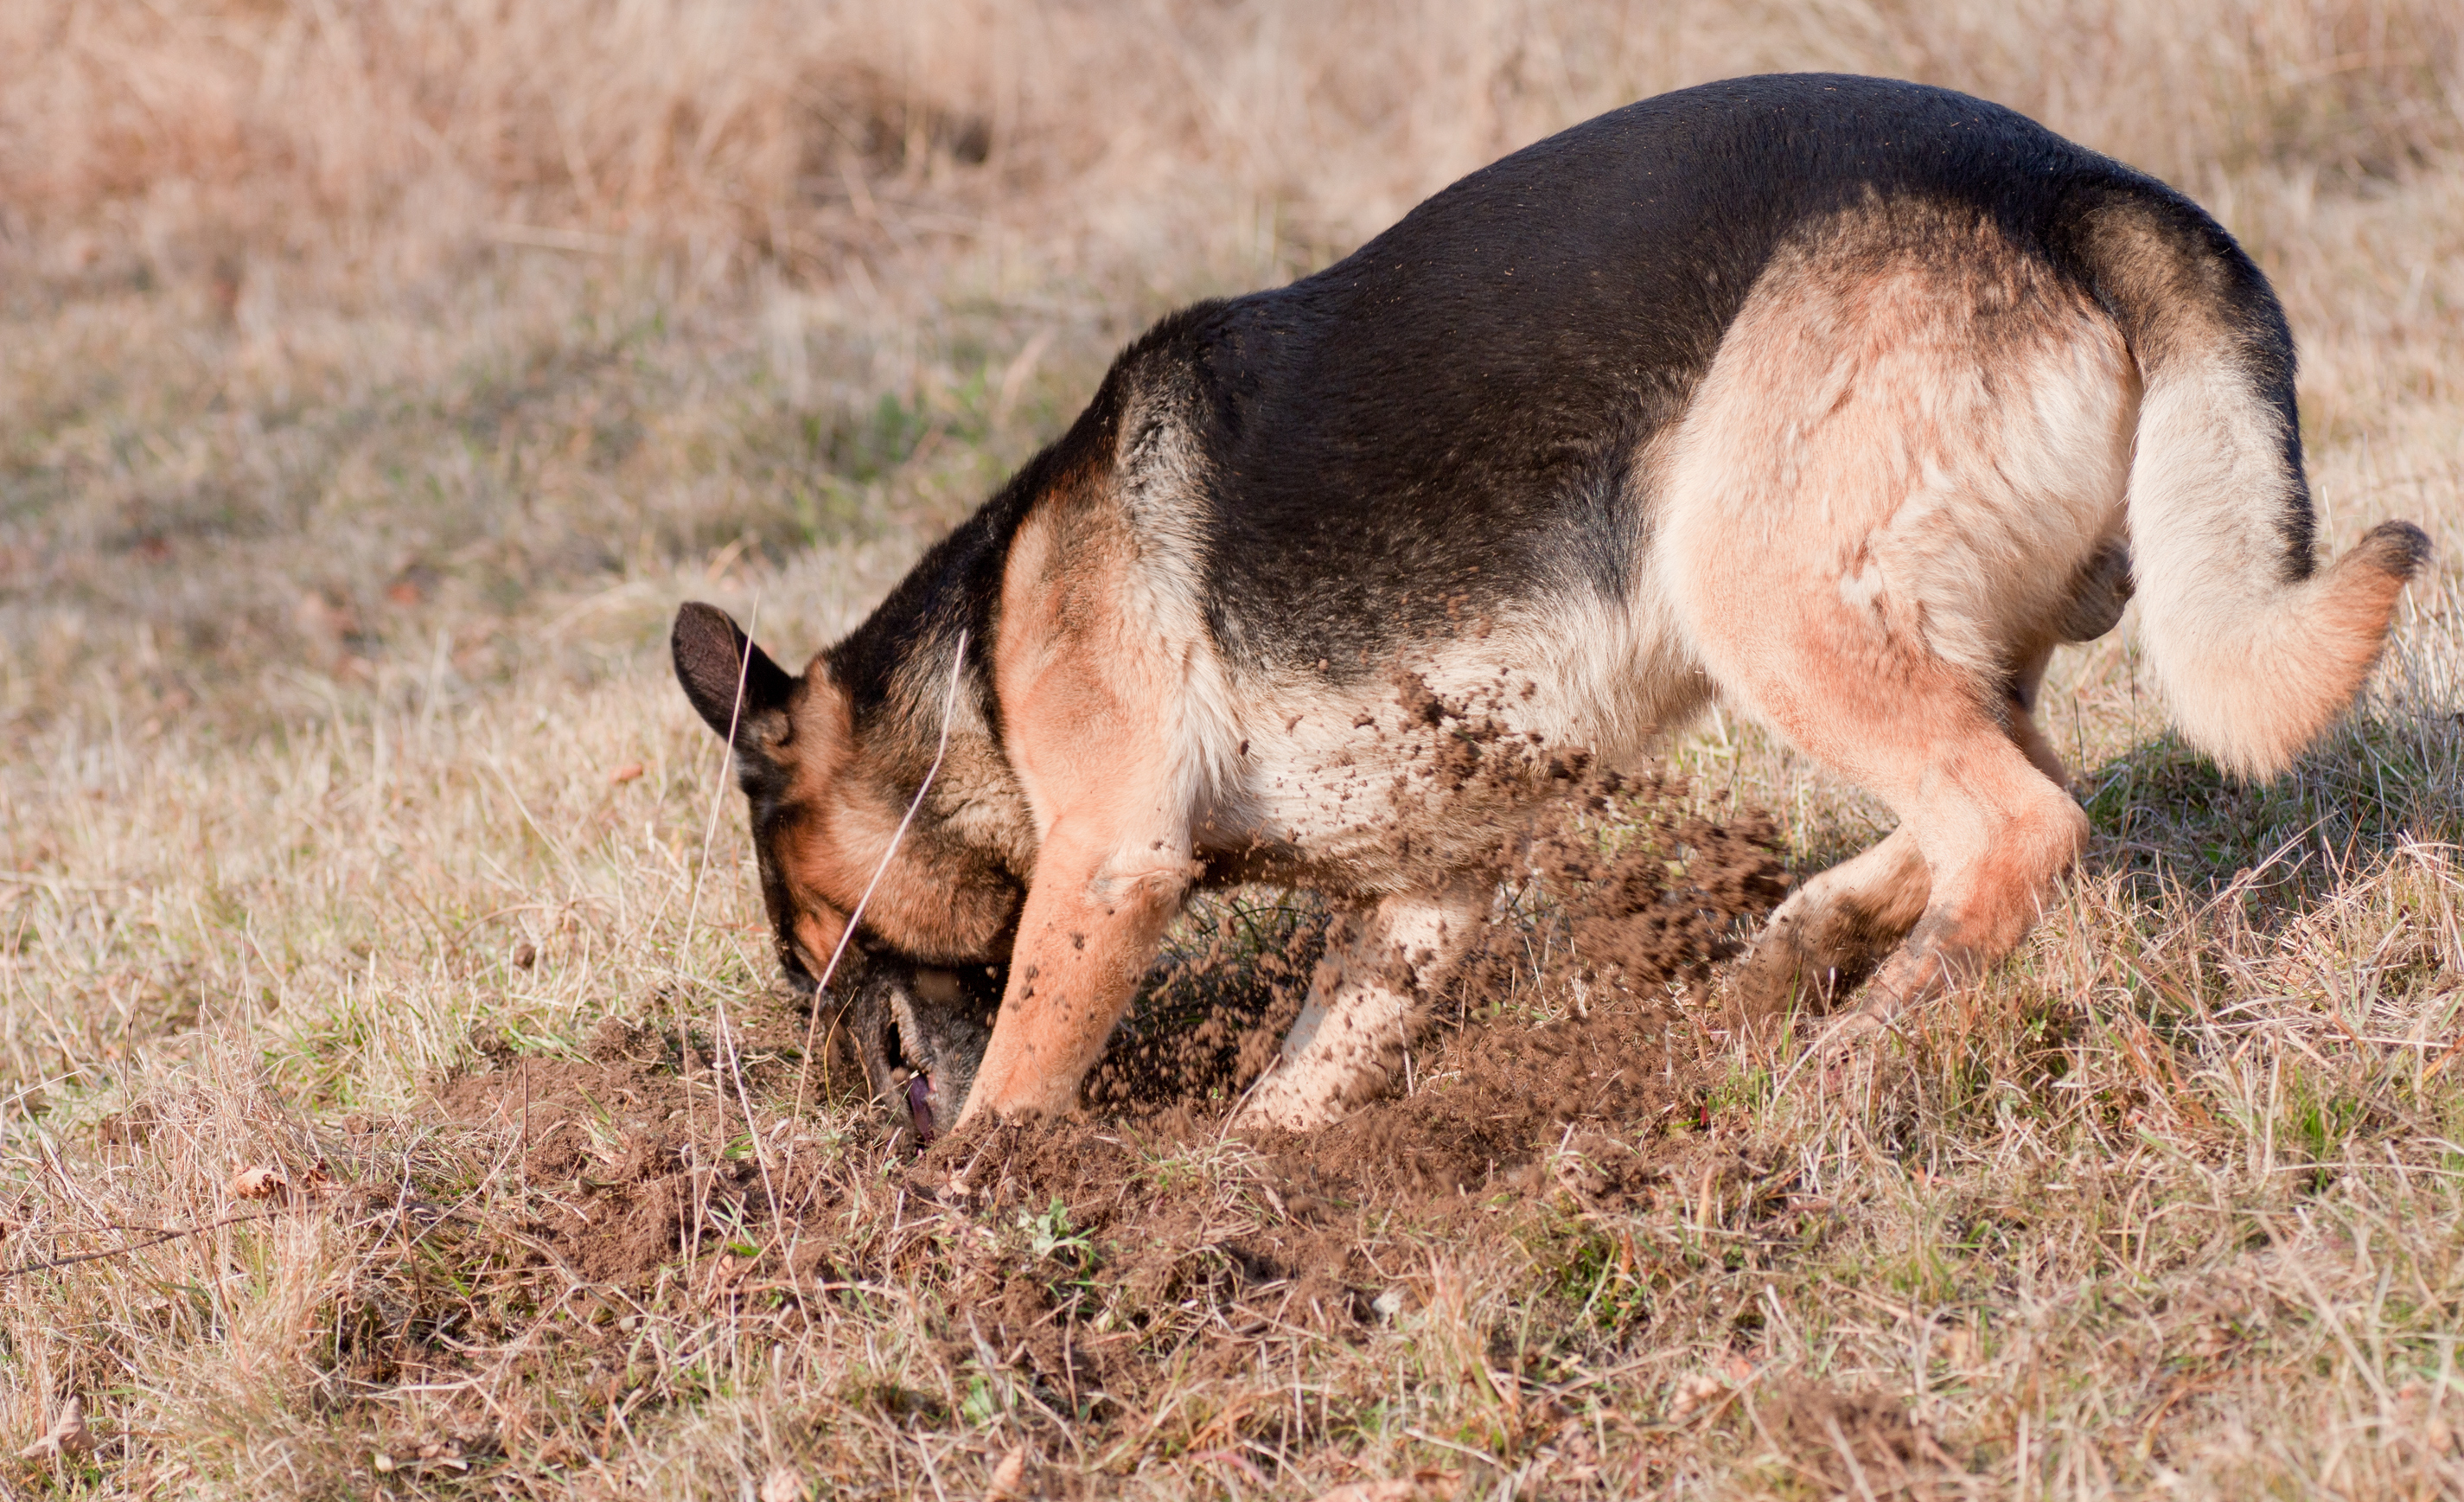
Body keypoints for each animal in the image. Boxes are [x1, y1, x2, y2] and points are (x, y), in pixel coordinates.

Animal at [670, 76, 2424, 1134]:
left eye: (804, 941)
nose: (827, 1100)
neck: (976, 656)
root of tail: (2075, 189)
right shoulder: (1418, 898)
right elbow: (1292, 1095)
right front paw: (1221, 1208)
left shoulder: (1106, 874)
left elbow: (1019, 1083)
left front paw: (977, 1222)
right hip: (1904, 627)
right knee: (2011, 789)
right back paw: (1789, 952)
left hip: (1755, 594)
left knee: (2019, 823)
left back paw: (1858, 1039)